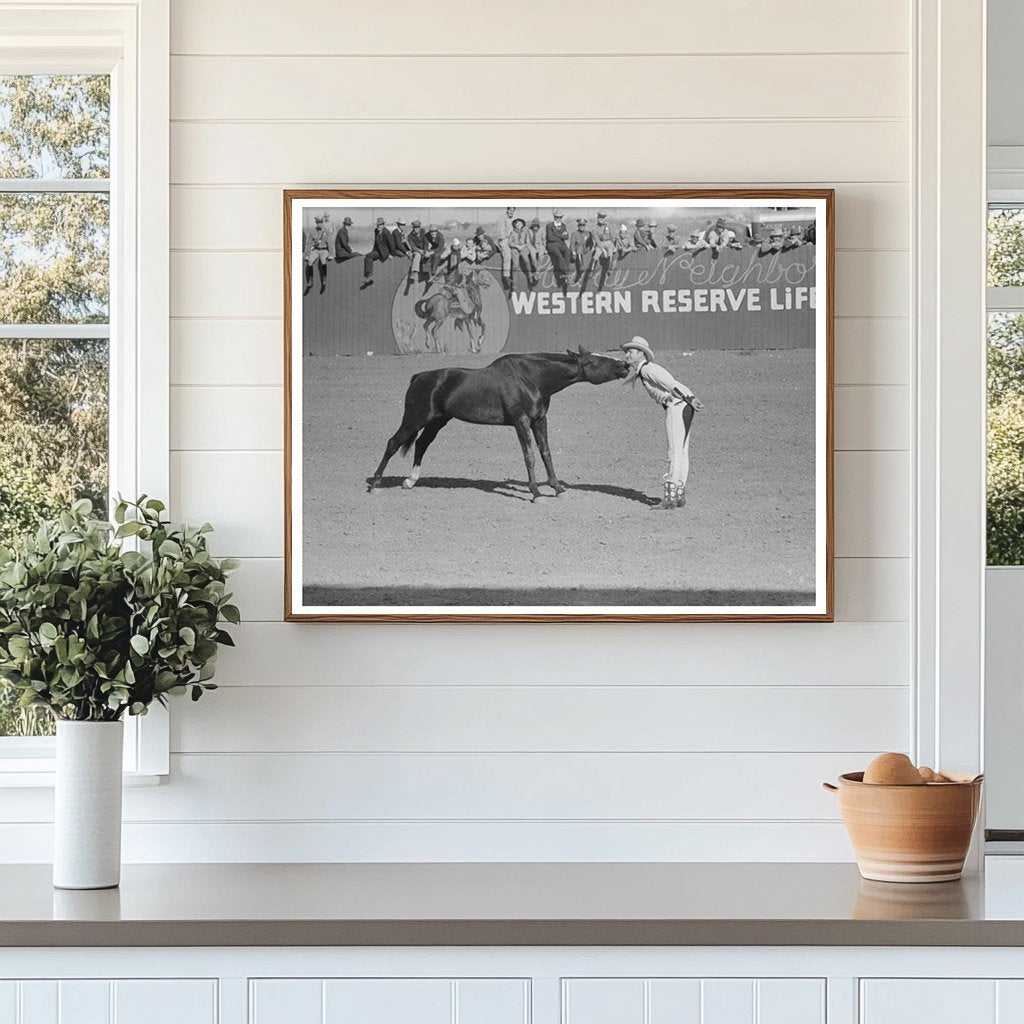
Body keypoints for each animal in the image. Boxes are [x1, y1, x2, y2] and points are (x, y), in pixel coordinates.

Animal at [368, 346, 622, 501]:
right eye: (595, 360)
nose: (625, 365)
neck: (531, 379)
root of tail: (418, 376)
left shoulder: (540, 422)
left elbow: (546, 454)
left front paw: (558, 488)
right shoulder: (521, 422)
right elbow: (529, 456)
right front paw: (536, 493)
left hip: (437, 421)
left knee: (421, 445)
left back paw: (410, 481)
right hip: (414, 419)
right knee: (393, 443)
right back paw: (375, 483)